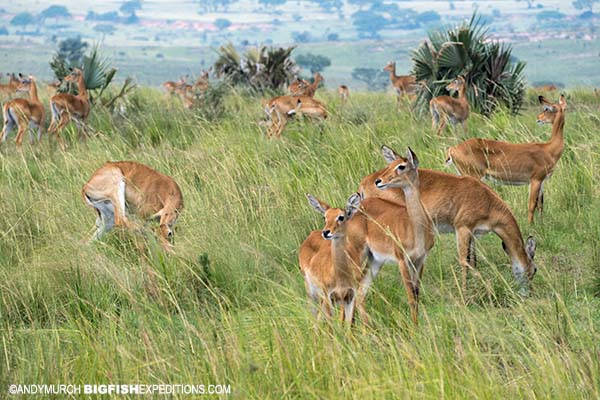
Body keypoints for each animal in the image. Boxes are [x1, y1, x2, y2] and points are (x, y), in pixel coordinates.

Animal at [360, 146, 540, 294]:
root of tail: (364, 185)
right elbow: (464, 261)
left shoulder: (473, 233)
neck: (488, 202)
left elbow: (472, 260)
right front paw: (465, 294)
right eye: (535, 269)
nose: (529, 293)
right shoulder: (462, 229)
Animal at [446, 94, 568, 225]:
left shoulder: (542, 181)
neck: (548, 149)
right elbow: (532, 205)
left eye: (547, 109)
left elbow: (540, 205)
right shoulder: (535, 179)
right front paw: (531, 225)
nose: (538, 118)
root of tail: (453, 149)